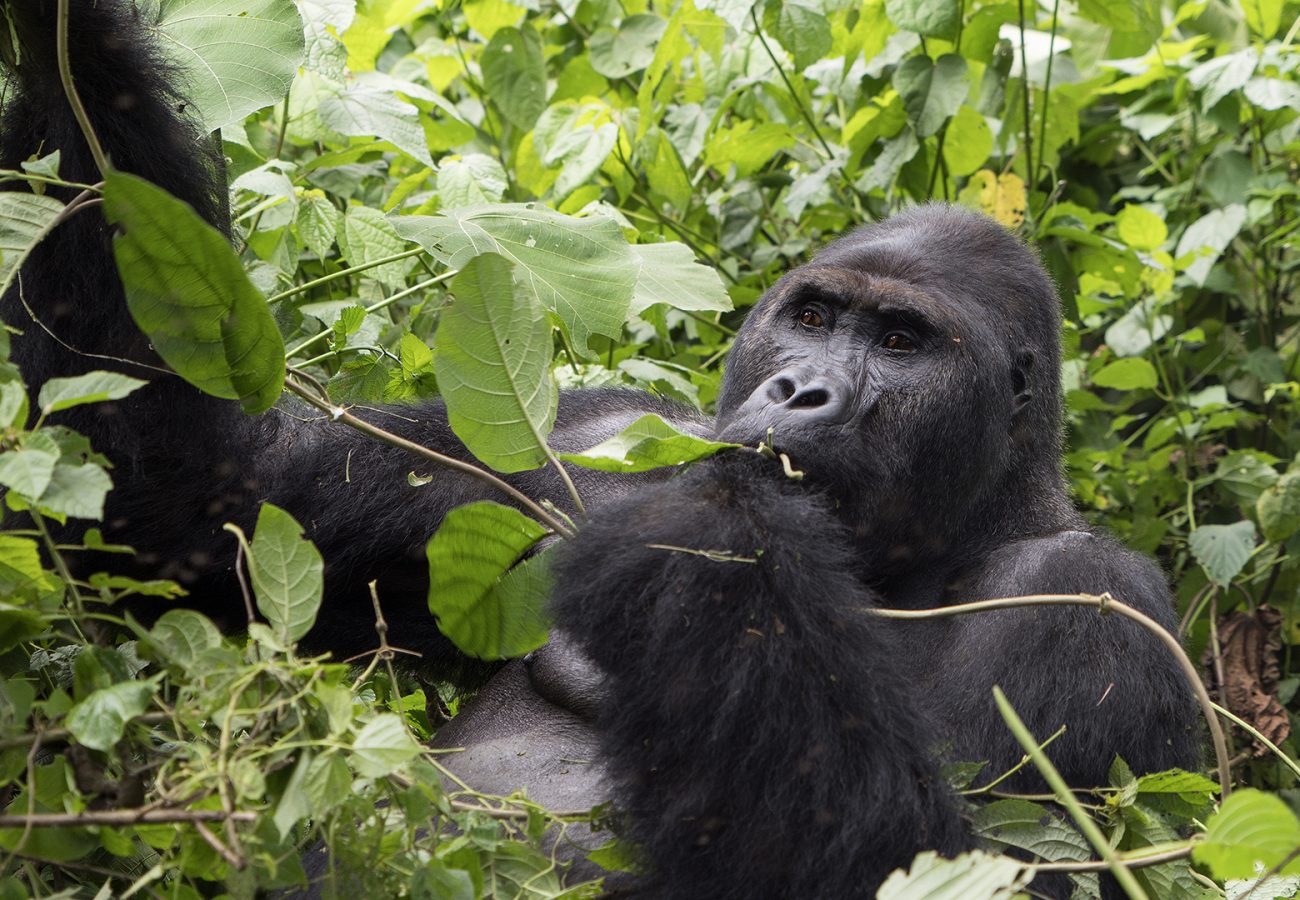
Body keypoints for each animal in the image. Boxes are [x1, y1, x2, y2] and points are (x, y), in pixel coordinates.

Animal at [2, 3, 1196, 894]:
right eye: (813, 317)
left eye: (901, 343)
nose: (799, 390)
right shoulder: (568, 449)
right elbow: (190, 521)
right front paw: (80, 44)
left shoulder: (1095, 602)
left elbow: (945, 859)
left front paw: (709, 544)